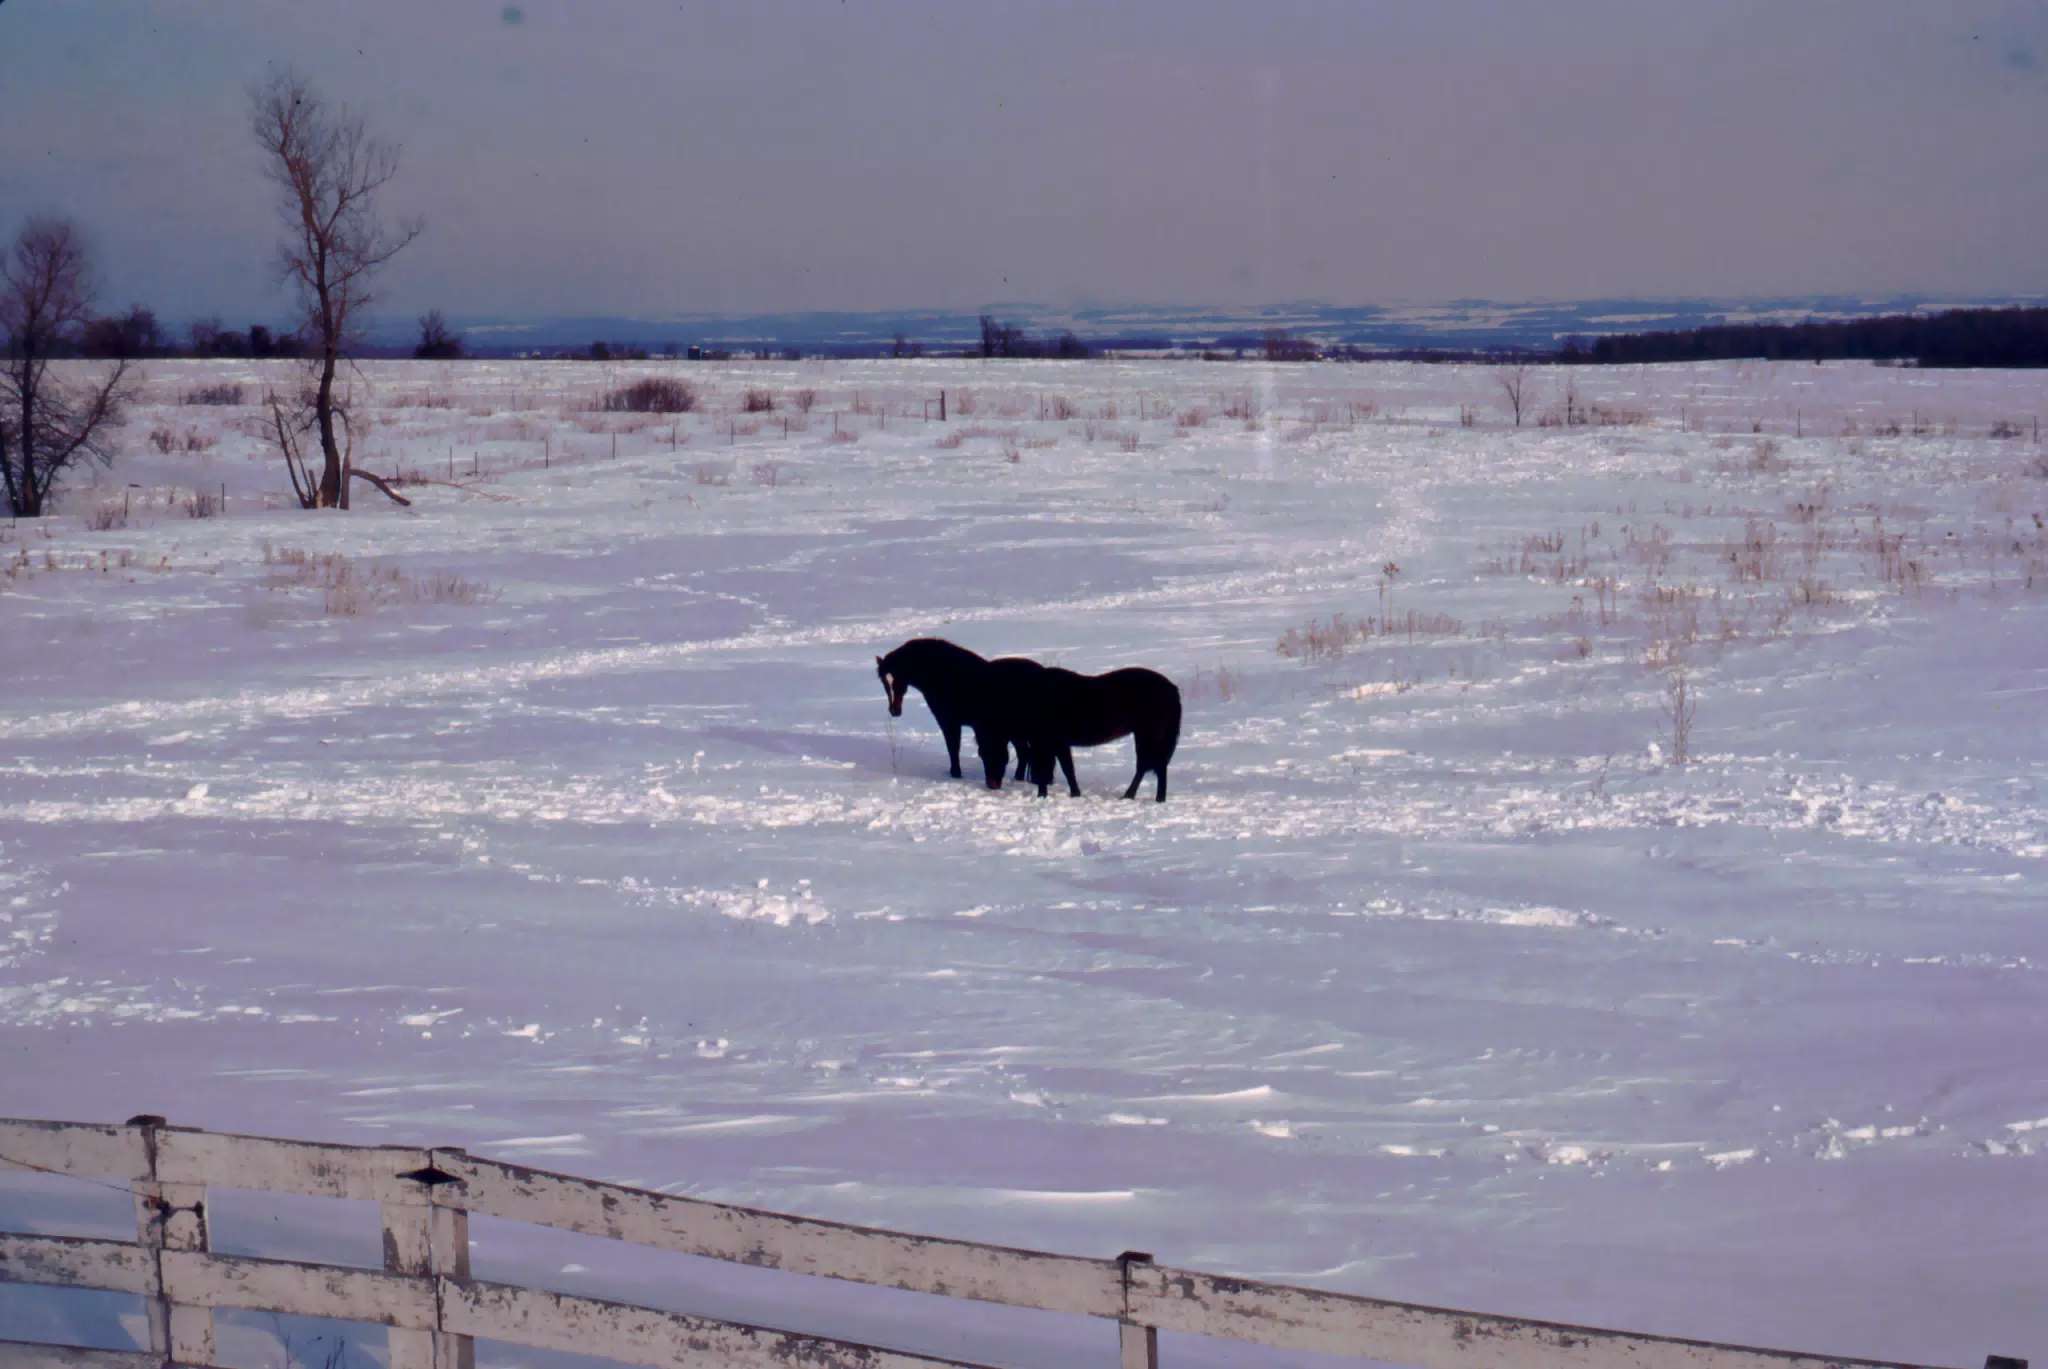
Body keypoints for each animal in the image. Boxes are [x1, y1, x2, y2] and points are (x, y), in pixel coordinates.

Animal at [875, 638, 1033, 782]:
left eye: (900, 679)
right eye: (884, 682)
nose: (894, 710)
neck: (940, 673)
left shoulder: (949, 721)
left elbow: (953, 747)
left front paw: (956, 773)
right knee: (1024, 752)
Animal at [1023, 666, 1182, 802]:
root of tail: (1172, 688)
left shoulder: (1053, 741)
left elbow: (1063, 768)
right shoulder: (1057, 743)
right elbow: (1066, 768)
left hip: (1149, 736)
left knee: (1150, 766)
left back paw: (1137, 796)